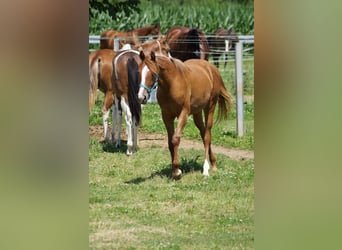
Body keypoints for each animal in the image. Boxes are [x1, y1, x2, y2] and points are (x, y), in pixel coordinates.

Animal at [137, 51, 232, 179]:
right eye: (138, 72)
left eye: (152, 74)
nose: (141, 97)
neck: (172, 83)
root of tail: (211, 68)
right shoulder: (166, 116)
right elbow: (170, 142)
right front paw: (173, 171)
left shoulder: (184, 114)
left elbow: (175, 139)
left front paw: (177, 171)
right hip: (197, 113)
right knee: (203, 134)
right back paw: (213, 162)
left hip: (210, 107)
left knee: (207, 135)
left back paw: (206, 168)